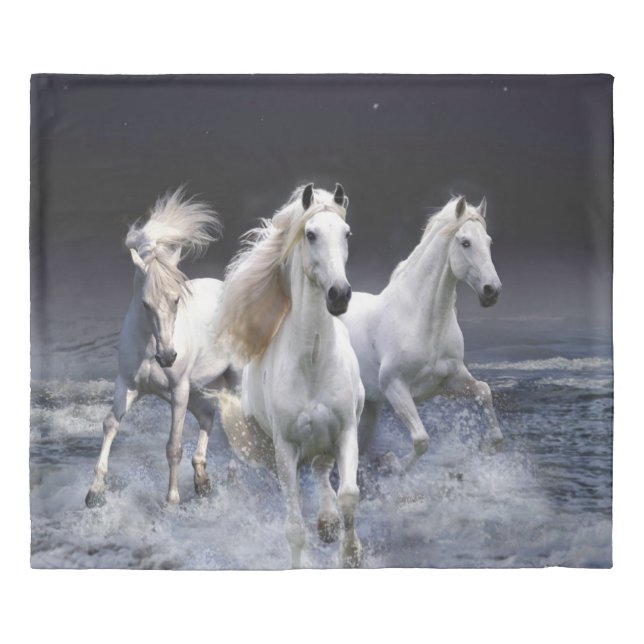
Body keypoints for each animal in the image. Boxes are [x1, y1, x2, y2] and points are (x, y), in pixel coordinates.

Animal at [85, 188, 239, 508]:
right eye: (145, 303)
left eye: (176, 299)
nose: (167, 357)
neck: (149, 347)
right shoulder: (128, 385)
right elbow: (109, 424)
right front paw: (94, 492)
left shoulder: (178, 391)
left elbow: (173, 446)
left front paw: (171, 500)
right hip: (197, 390)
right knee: (208, 417)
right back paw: (202, 480)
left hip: (232, 380)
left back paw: (231, 476)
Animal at [216, 183, 365, 568]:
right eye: (310, 234)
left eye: (347, 233)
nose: (340, 295)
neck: (312, 363)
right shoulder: (285, 449)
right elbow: (294, 527)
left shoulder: (346, 431)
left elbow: (348, 495)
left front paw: (351, 554)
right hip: (272, 451)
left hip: (326, 441)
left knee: (322, 472)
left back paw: (327, 523)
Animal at [341, 196, 503, 471]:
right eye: (465, 242)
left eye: (489, 242)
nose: (492, 291)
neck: (423, 322)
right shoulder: (395, 387)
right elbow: (421, 440)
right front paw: (392, 463)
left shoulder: (450, 381)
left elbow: (484, 391)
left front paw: (488, 445)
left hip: (369, 407)